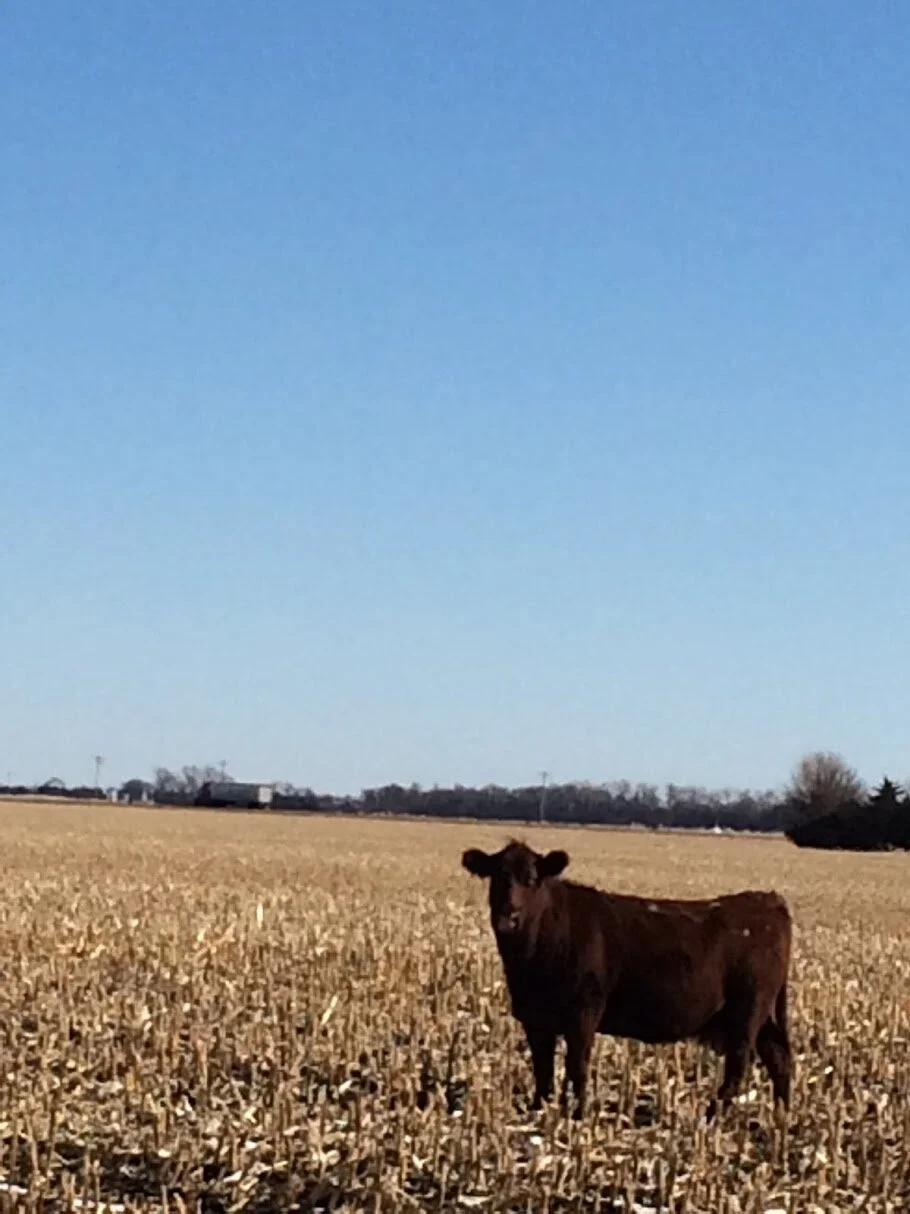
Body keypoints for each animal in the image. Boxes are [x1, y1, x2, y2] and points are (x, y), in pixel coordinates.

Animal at [462, 840, 792, 1120]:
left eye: (532, 879)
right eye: (496, 877)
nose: (509, 917)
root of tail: (767, 900)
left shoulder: (584, 1012)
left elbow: (577, 1065)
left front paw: (577, 1114)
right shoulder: (535, 1017)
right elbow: (542, 1067)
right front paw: (538, 1108)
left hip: (747, 1010)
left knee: (739, 1065)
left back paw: (712, 1116)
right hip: (760, 1014)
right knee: (778, 1056)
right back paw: (781, 1115)